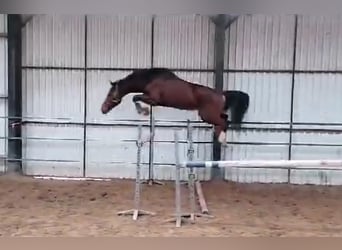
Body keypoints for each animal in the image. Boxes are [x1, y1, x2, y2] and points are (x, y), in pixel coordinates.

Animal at [100, 67, 250, 145]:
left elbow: (135, 97)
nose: (103, 109)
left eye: (110, 94)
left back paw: (222, 139)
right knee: (224, 119)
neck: (150, 80)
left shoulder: (153, 100)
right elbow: (135, 97)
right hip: (210, 114)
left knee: (224, 121)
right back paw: (220, 136)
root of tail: (221, 94)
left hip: (206, 115)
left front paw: (143, 111)